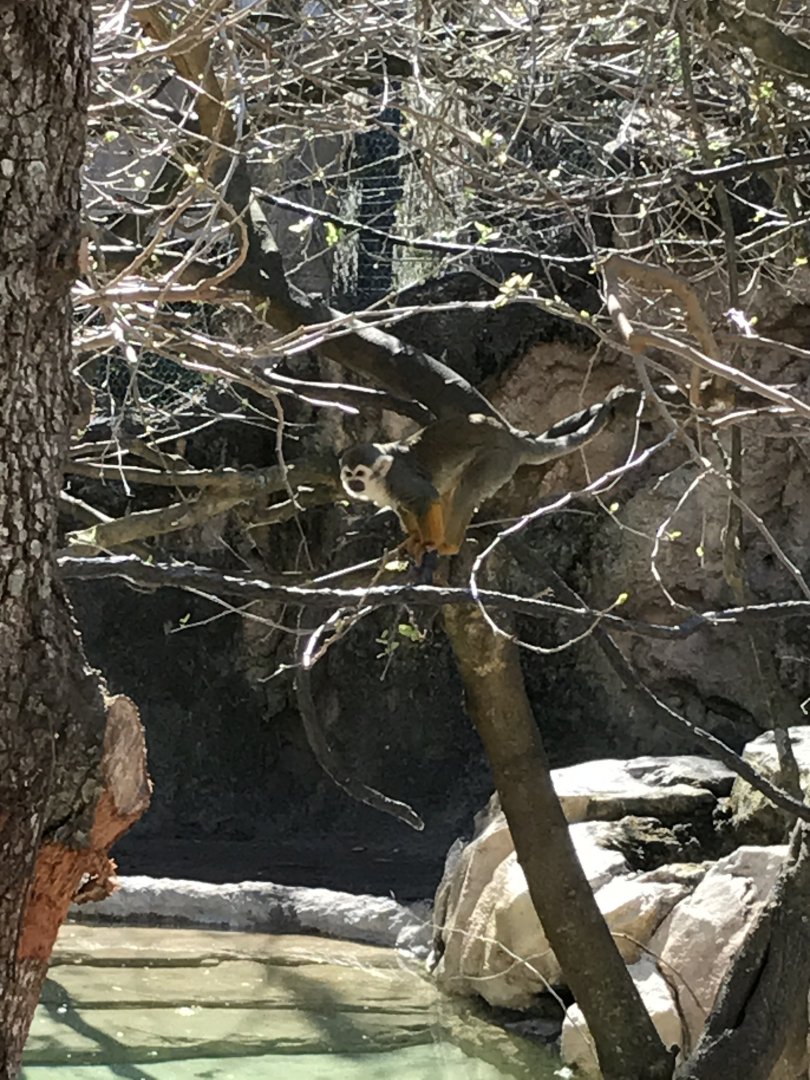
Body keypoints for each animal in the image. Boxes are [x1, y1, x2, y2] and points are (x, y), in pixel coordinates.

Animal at [340, 385, 640, 567]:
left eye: (360, 474)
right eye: (348, 474)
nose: (353, 483)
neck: (380, 482)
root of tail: (511, 438)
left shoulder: (398, 478)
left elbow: (425, 498)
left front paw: (427, 543)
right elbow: (406, 508)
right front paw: (413, 538)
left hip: (498, 458)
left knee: (467, 489)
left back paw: (448, 545)